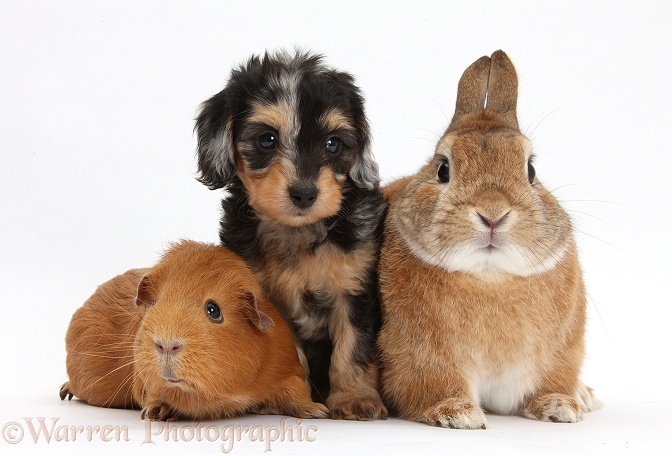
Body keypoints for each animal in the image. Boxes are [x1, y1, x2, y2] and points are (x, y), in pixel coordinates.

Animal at [60, 240, 328, 422]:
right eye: (154, 303)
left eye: (213, 310)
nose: (166, 345)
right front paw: (155, 412)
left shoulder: (287, 368)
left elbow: (296, 390)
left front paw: (318, 412)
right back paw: (65, 391)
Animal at [194, 50, 386, 420]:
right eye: (267, 140)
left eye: (333, 144)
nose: (304, 193)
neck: (297, 232)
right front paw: (290, 399)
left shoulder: (354, 285)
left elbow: (353, 346)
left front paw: (355, 397)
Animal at [378, 51, 600, 430]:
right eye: (443, 169)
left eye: (531, 170)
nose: (493, 214)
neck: (490, 276)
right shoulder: (419, 360)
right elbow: (432, 387)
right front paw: (457, 414)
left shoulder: (558, 354)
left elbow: (550, 382)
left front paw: (558, 406)